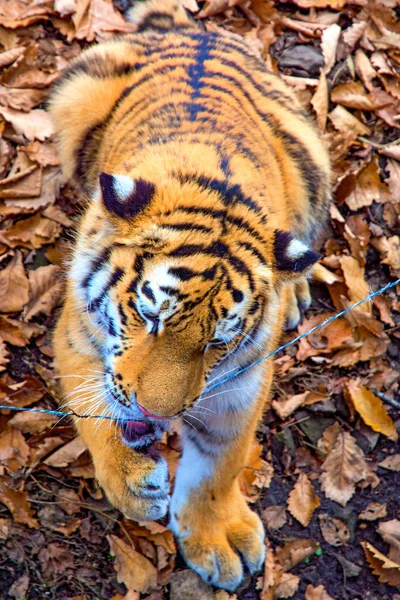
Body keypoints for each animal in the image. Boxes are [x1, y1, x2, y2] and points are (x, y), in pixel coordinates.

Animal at [49, 0, 332, 592]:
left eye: (216, 344)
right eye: (148, 315)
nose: (156, 412)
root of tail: (191, 30)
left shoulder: (243, 378)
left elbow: (221, 463)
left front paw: (215, 535)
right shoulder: (76, 336)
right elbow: (92, 406)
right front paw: (133, 485)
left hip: (311, 155)